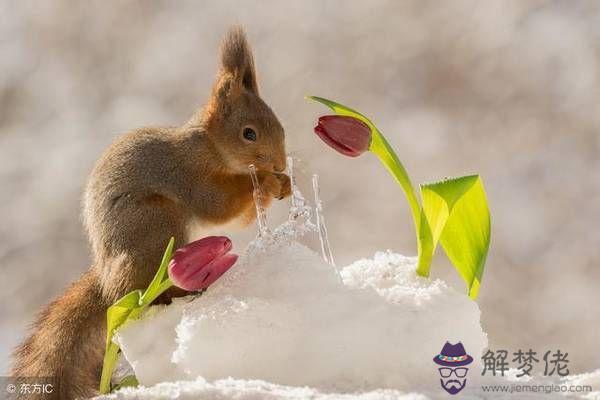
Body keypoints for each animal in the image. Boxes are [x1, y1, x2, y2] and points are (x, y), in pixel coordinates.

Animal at [9, 26, 290, 398]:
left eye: (281, 127)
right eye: (249, 133)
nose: (280, 164)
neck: (210, 147)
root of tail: (107, 280)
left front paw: (284, 184)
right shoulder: (186, 175)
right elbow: (216, 204)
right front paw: (267, 182)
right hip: (157, 224)